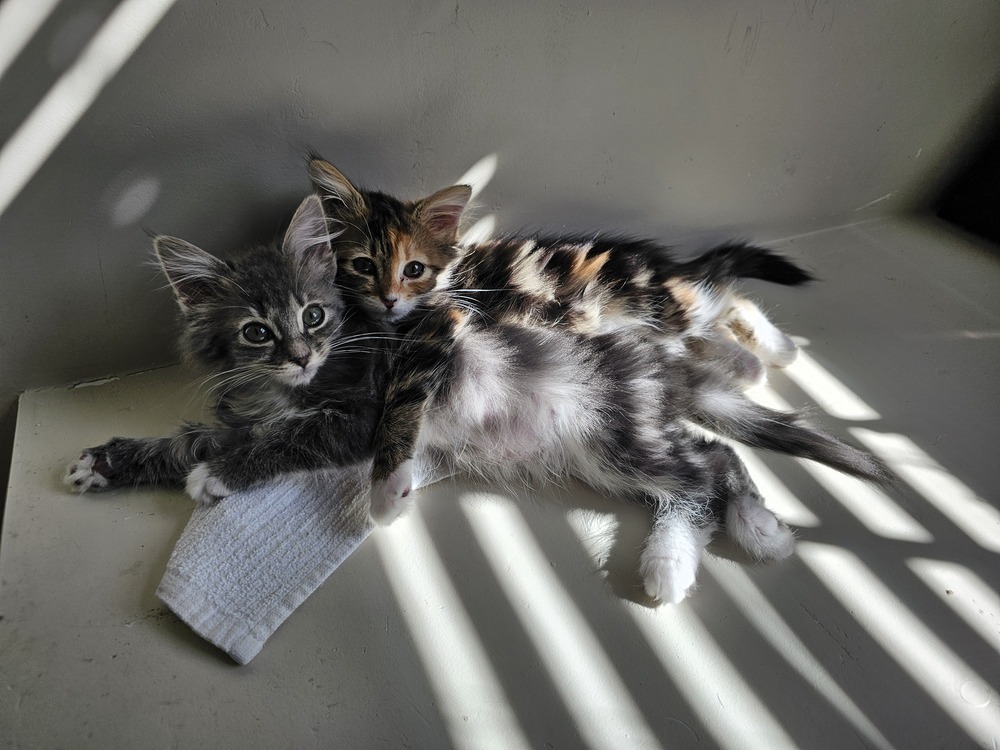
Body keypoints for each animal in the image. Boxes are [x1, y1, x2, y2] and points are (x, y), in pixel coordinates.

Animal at [66, 195, 390, 506]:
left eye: (313, 316)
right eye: (257, 333)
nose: (302, 358)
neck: (278, 390)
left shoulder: (365, 411)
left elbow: (302, 434)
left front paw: (218, 472)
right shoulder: (247, 421)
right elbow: (190, 441)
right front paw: (107, 463)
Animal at [308, 156, 808, 384]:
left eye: (413, 269)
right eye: (363, 265)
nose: (389, 298)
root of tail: (664, 265)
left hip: (660, 303)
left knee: (727, 298)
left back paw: (779, 350)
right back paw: (752, 365)